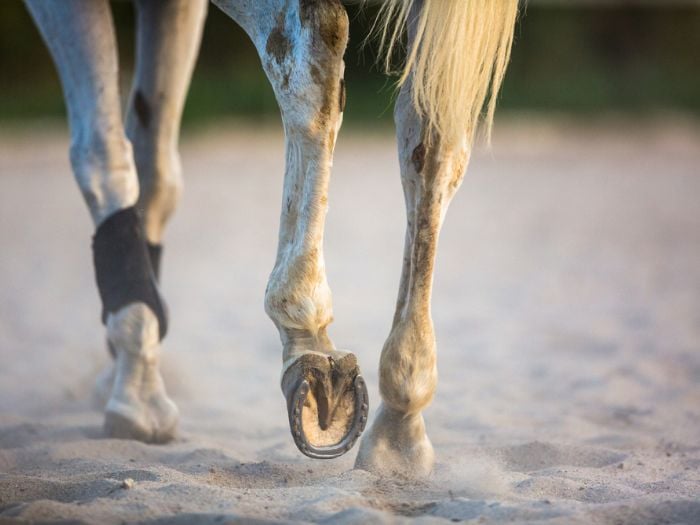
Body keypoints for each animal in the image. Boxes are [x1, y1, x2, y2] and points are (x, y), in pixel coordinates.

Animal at [24, 0, 516, 474]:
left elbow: (102, 153)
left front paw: (135, 385)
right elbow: (153, 166)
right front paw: (130, 360)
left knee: (313, 51)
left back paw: (307, 334)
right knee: (432, 128)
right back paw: (400, 422)